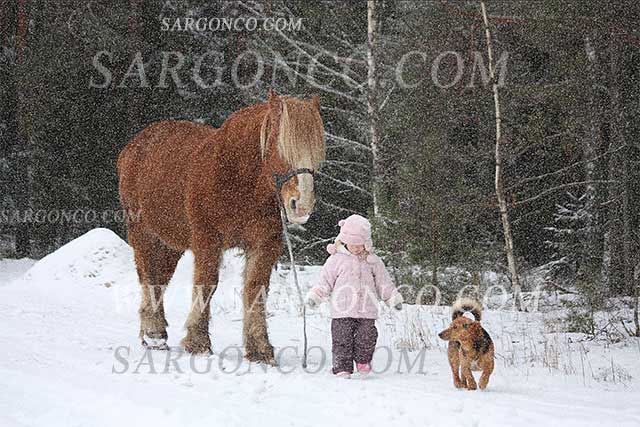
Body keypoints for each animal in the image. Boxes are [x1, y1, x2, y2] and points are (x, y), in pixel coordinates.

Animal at [117, 89, 324, 362]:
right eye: (280, 147)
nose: (301, 206)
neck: (235, 177)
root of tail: (134, 146)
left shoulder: (264, 245)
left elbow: (256, 289)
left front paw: (259, 348)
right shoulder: (208, 241)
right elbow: (207, 285)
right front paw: (197, 341)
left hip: (171, 243)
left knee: (161, 279)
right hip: (143, 233)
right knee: (148, 276)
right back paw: (153, 333)